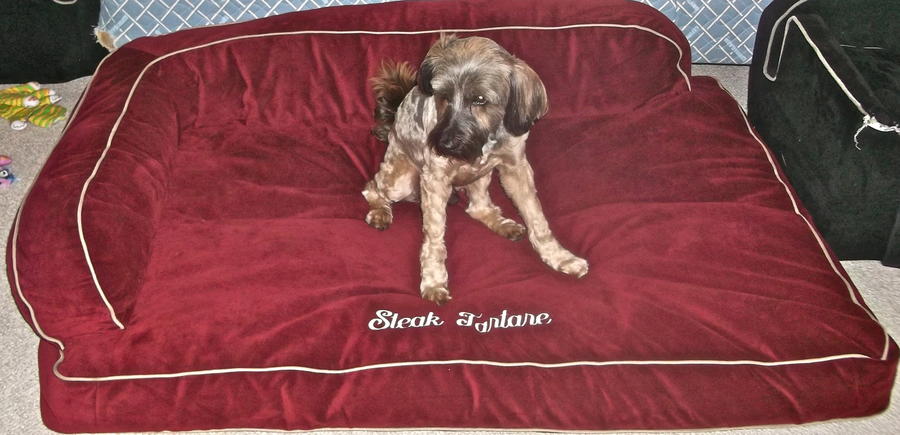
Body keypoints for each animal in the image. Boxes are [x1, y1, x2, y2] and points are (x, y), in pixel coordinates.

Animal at [363, 35, 589, 305]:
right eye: (443, 96)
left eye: (480, 99)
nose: (445, 144)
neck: (483, 140)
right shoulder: (435, 179)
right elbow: (434, 236)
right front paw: (434, 281)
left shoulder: (516, 168)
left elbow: (537, 218)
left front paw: (560, 257)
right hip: (402, 180)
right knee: (373, 188)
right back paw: (380, 212)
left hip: (482, 174)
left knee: (477, 207)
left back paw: (501, 223)